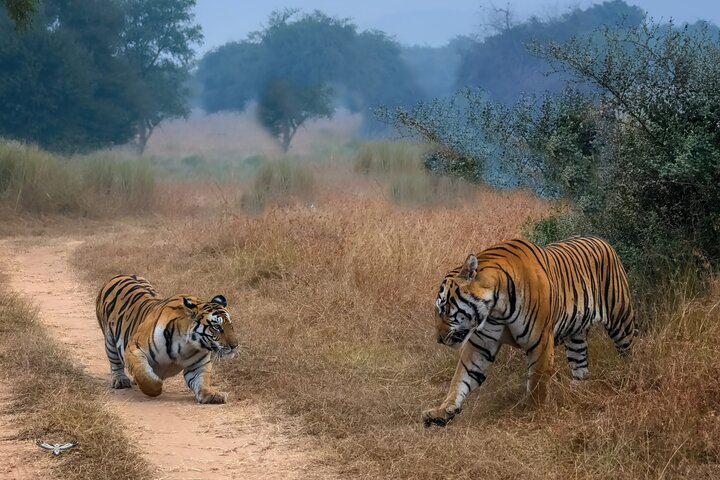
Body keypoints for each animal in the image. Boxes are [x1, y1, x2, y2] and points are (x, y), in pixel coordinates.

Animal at [96, 274, 239, 404]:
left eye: (231, 325)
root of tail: (119, 276)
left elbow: (202, 380)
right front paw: (156, 387)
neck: (187, 346)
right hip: (110, 341)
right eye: (216, 327)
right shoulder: (134, 348)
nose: (235, 346)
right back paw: (121, 380)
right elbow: (146, 376)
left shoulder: (198, 364)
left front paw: (211, 395)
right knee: (115, 362)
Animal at [423, 236, 636, 427]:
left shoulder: (540, 341)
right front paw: (441, 411)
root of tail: (604, 241)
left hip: (620, 319)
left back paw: (627, 377)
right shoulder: (481, 346)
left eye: (444, 308)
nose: (438, 339)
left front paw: (533, 413)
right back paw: (577, 390)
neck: (496, 309)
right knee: (580, 365)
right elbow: (461, 378)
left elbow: (536, 383)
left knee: (628, 351)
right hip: (576, 336)